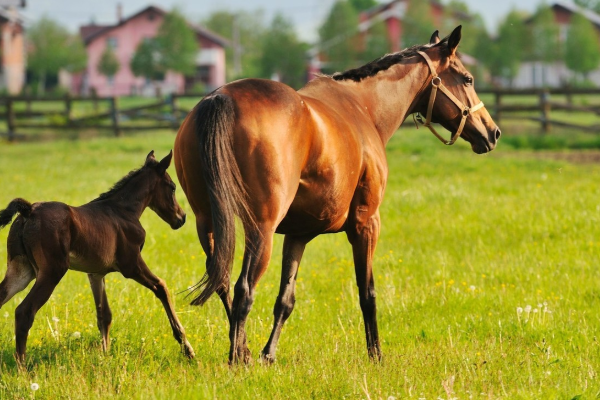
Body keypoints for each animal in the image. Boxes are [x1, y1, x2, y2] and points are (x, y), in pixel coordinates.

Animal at [0, 152, 195, 364]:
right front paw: (187, 348)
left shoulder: (95, 273)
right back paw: (22, 367)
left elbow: (104, 314)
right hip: (51, 271)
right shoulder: (131, 264)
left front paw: (105, 354)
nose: (182, 218)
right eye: (172, 187)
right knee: (24, 312)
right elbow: (162, 287)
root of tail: (28, 211)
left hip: (21, 270)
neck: (124, 211)